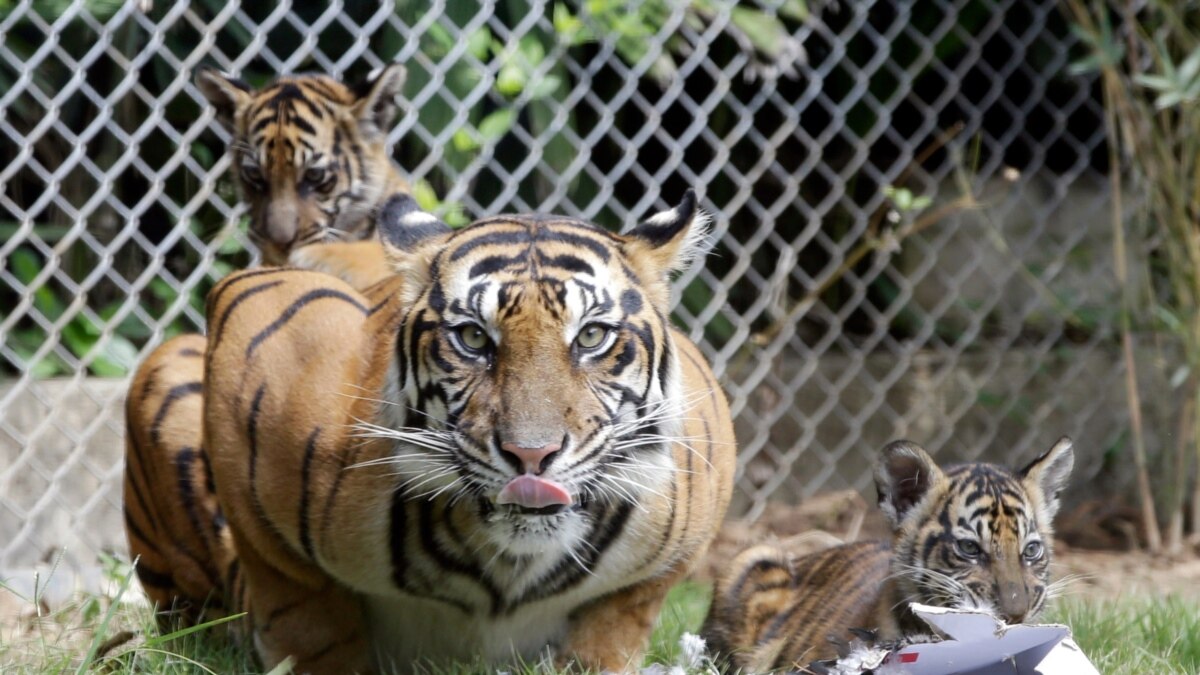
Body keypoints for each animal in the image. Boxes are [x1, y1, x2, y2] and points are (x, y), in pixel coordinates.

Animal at [126, 190, 734, 672]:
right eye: (473, 337)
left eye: (590, 337)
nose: (530, 456)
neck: (508, 569)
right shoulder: (257, 327)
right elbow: (308, 616)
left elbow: (610, 631)